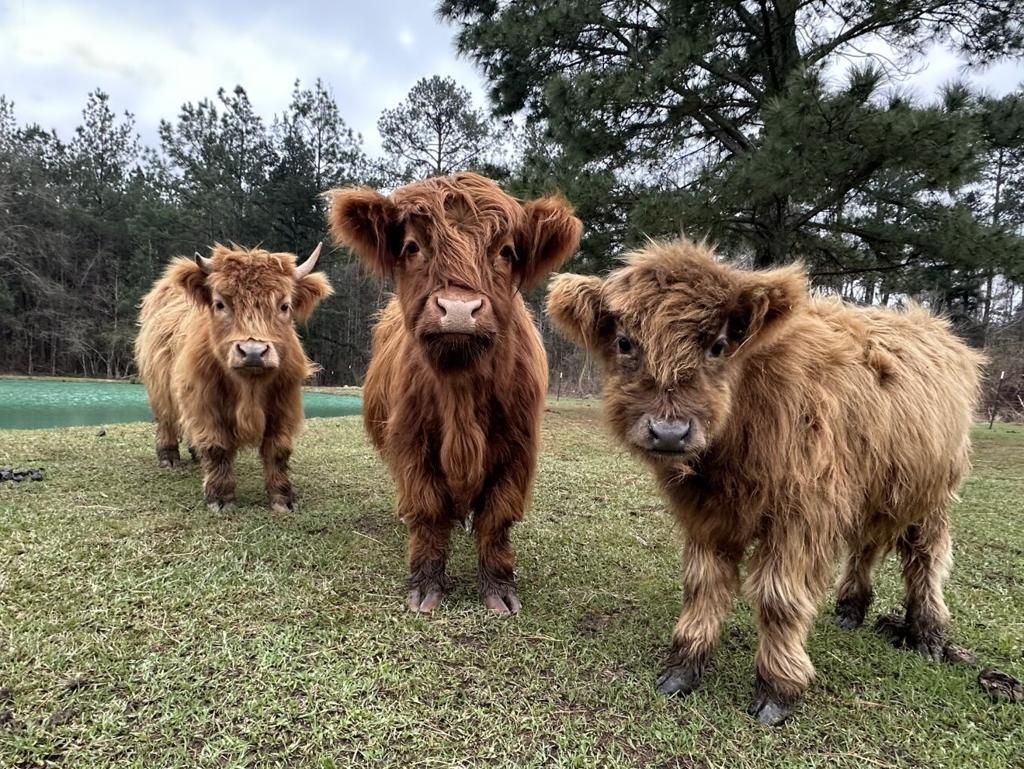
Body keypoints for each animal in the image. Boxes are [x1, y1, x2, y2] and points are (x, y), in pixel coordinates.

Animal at [134, 243, 332, 512]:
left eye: (284, 306)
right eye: (220, 304)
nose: (253, 352)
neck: (249, 388)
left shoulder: (283, 405)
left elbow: (278, 450)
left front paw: (283, 498)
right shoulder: (205, 402)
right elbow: (216, 447)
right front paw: (220, 497)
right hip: (159, 385)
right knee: (166, 419)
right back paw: (168, 457)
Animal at [327, 172, 581, 615]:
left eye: (506, 251)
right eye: (412, 246)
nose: (459, 309)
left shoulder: (517, 451)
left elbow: (496, 519)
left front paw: (499, 590)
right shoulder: (411, 444)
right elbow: (428, 511)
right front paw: (426, 586)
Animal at [546, 237, 983, 724]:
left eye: (718, 345)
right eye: (625, 342)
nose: (669, 431)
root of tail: (933, 324)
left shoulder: (801, 517)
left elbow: (780, 600)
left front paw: (777, 689)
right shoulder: (707, 515)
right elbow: (702, 585)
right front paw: (684, 667)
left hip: (933, 495)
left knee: (926, 559)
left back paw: (927, 635)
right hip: (873, 488)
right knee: (865, 545)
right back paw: (850, 609)